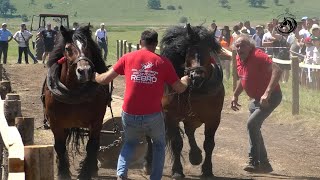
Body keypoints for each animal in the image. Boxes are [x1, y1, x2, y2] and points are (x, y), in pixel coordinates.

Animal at [42, 25, 110, 180]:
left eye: (88, 46)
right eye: (67, 48)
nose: (84, 71)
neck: (73, 93)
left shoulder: (96, 122)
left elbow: (92, 146)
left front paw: (85, 172)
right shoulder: (55, 123)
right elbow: (60, 146)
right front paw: (63, 172)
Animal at [145, 23, 225, 179]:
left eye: (208, 52)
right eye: (189, 52)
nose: (196, 76)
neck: (196, 90)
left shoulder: (213, 118)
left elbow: (209, 144)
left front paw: (207, 169)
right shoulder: (171, 117)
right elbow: (177, 143)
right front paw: (177, 170)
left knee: (190, 132)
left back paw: (195, 155)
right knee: (150, 137)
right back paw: (148, 163)